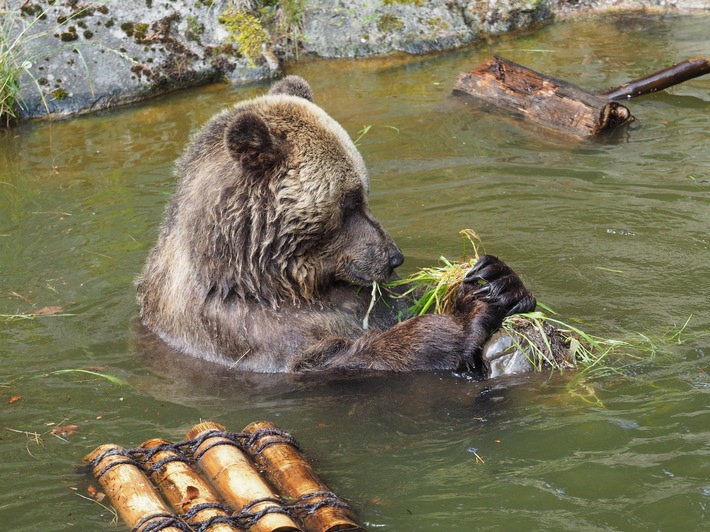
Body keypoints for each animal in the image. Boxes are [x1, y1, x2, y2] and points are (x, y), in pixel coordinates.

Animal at [136, 76, 536, 374]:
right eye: (350, 202)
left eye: (364, 194)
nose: (394, 257)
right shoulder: (241, 334)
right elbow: (338, 357)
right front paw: (463, 317)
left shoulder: (359, 298)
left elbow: (396, 302)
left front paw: (496, 279)